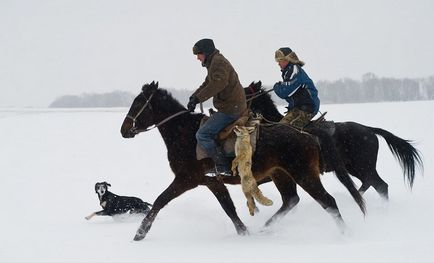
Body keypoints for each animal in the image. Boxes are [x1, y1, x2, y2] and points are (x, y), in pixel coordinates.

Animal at [119, 82, 366, 241]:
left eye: (138, 103)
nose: (124, 129)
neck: (184, 133)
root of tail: (306, 134)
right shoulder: (213, 182)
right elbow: (228, 207)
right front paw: (243, 232)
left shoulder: (186, 179)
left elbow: (160, 200)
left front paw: (140, 233)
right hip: (281, 174)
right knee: (291, 200)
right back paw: (265, 229)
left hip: (305, 174)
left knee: (329, 202)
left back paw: (346, 235)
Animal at [246, 81, 422, 199]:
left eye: (245, 91)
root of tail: (369, 129)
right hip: (353, 167)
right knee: (373, 184)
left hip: (364, 166)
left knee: (380, 185)